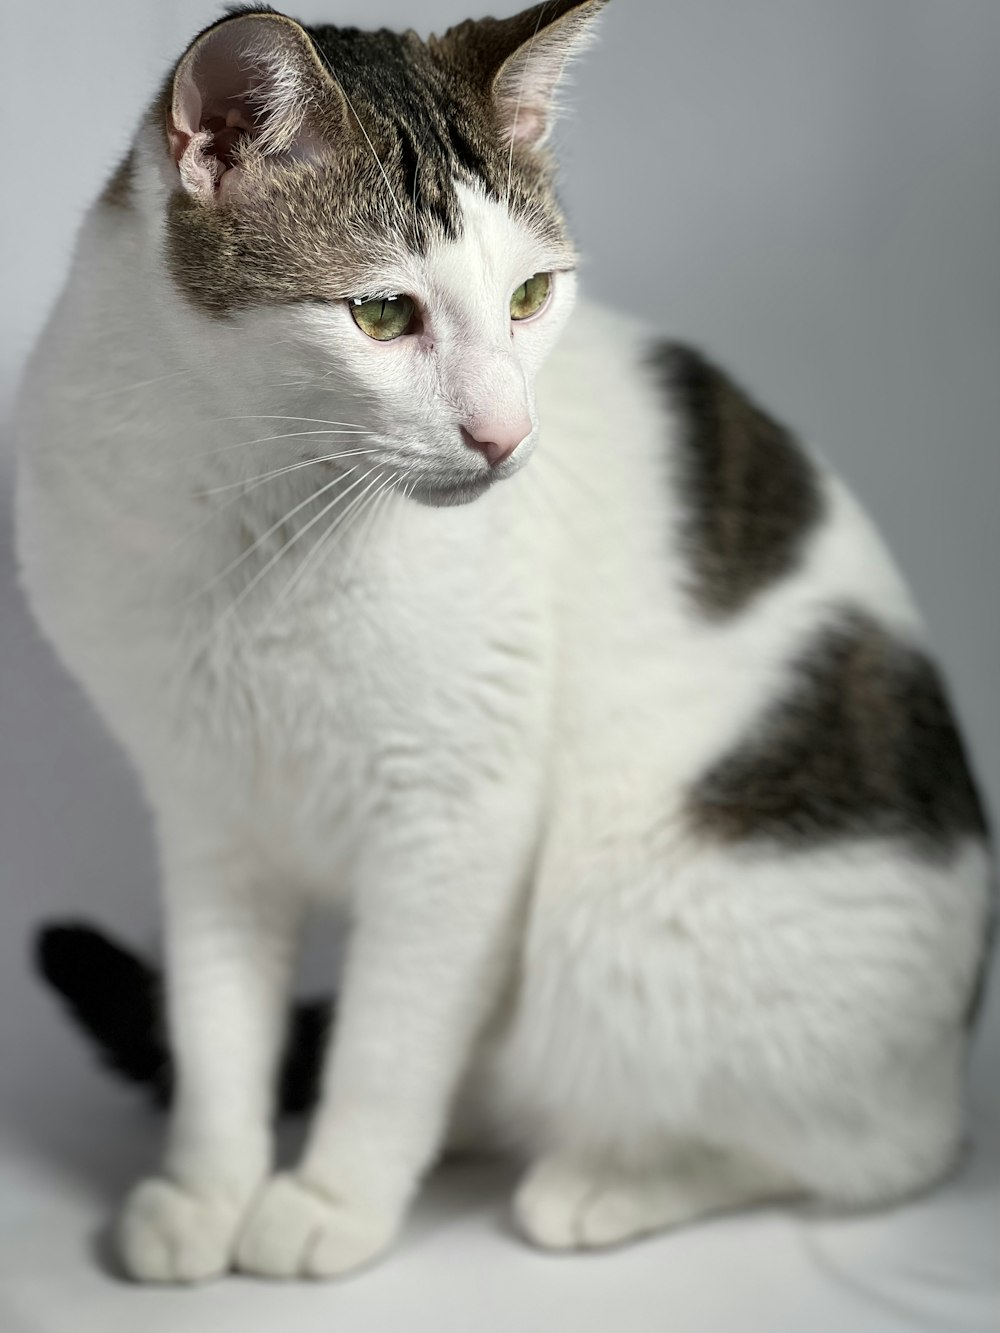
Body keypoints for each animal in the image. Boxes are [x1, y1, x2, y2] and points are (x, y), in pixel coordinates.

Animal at [13, 0, 997, 1290]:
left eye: (530, 295)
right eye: (382, 313)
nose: (504, 435)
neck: (252, 511)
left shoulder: (457, 813)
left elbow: (389, 1036)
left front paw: (330, 1197)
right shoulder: (205, 814)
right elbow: (217, 1018)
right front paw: (207, 1189)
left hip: (634, 925)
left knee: (867, 1149)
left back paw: (608, 1181)